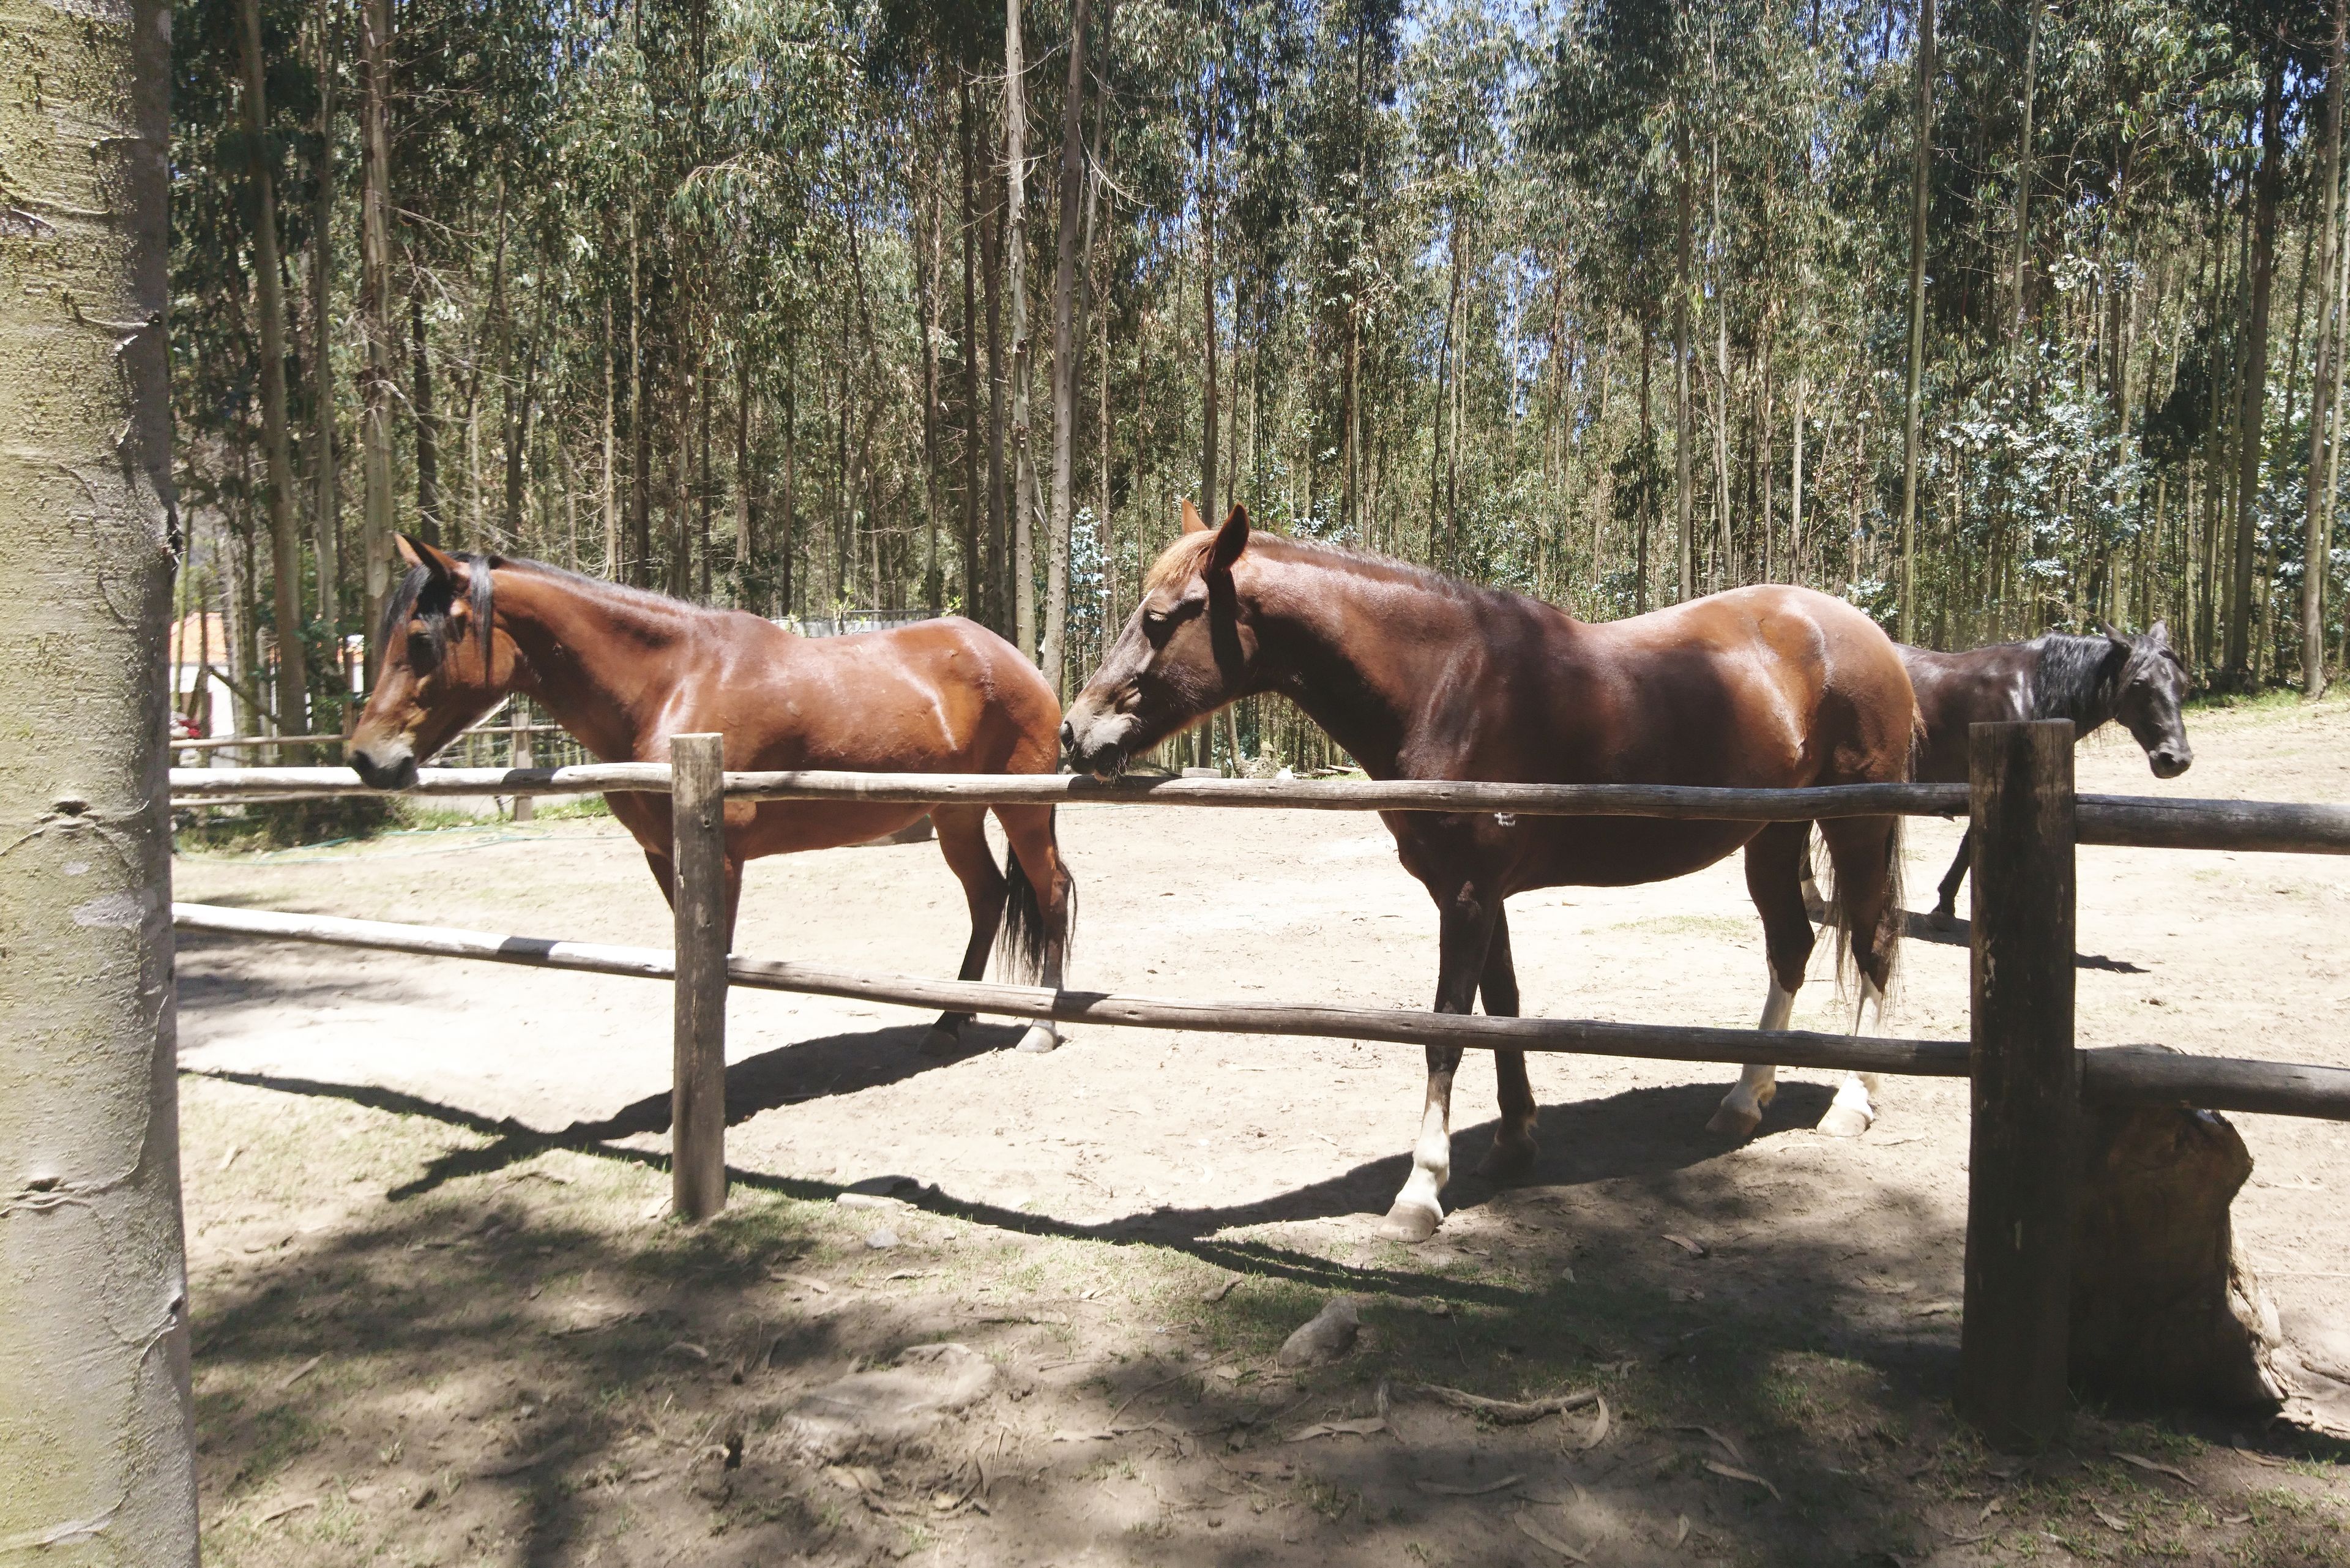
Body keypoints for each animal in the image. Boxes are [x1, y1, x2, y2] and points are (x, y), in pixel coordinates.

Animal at [347, 534, 1075, 1055]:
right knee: (986, 897)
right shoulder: (662, 855)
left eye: (421, 640)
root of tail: (1016, 661)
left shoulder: (720, 857)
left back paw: (1041, 1026)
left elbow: (715, 962)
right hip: (955, 814)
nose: (367, 758)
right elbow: (690, 959)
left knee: (1051, 891)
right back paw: (950, 1020)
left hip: (1020, 809)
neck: (672, 683)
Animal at [1061, 502, 1919, 1242]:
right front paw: (1514, 1143)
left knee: (1872, 943)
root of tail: (1867, 635)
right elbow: (1502, 1010)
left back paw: (1852, 1101)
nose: (1075, 731)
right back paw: (1743, 1101)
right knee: (1791, 949)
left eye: (1163, 617)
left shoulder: (1468, 897)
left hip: (1855, 828)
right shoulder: (1482, 894)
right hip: (1774, 835)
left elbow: (1446, 1033)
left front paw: (1420, 1190)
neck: (1449, 683)